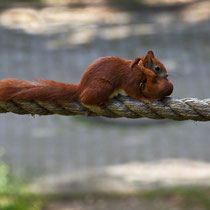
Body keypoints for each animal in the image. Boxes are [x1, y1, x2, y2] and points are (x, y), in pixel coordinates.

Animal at [0, 50, 173, 106]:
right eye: (157, 68)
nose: (167, 75)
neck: (139, 69)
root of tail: (81, 87)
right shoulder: (130, 79)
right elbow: (133, 91)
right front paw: (145, 99)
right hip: (103, 86)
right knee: (85, 99)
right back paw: (97, 104)